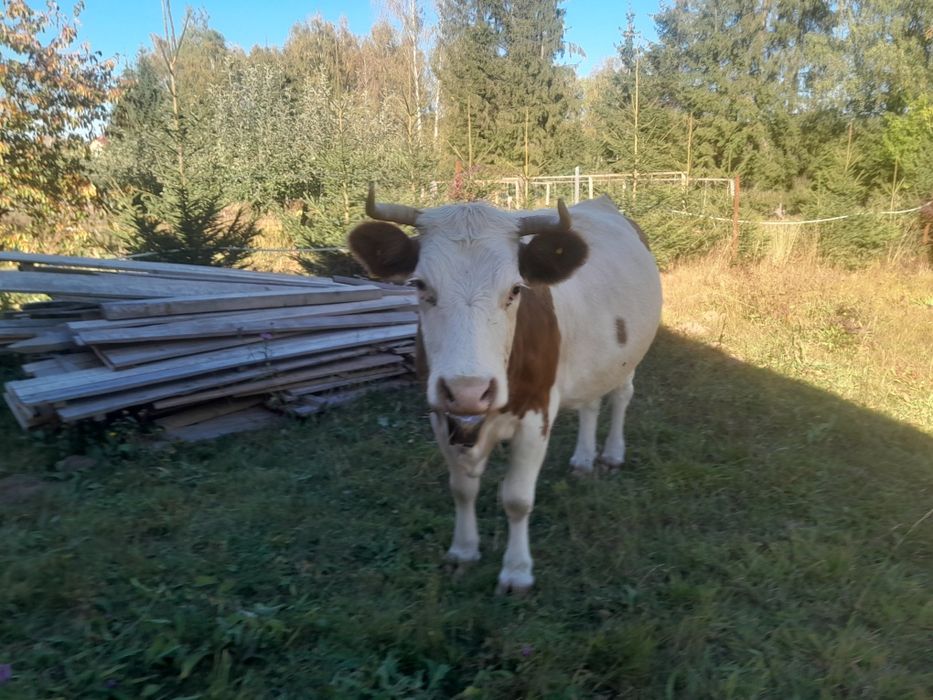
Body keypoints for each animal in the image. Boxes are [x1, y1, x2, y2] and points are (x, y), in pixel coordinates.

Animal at [348, 186, 662, 594]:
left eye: (515, 289)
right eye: (420, 286)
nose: (469, 390)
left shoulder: (536, 415)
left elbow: (517, 499)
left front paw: (516, 571)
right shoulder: (440, 414)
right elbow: (462, 488)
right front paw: (463, 551)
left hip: (630, 354)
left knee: (621, 397)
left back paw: (611, 456)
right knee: (590, 403)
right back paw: (582, 460)